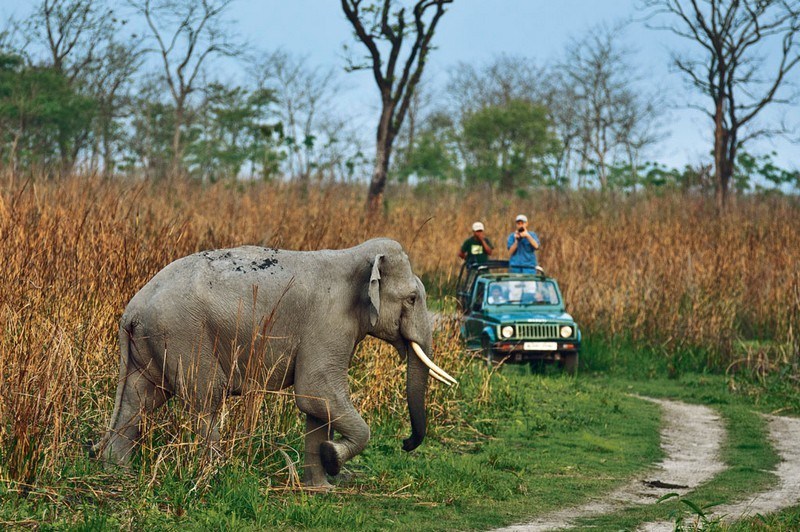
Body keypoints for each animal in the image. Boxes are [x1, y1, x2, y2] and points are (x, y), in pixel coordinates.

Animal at [94, 237, 454, 486]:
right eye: (412, 298)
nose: (406, 443)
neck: (354, 254)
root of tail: (131, 310)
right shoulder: (328, 321)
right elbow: (317, 390)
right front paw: (333, 459)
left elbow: (315, 404)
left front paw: (320, 487)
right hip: (184, 335)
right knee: (206, 400)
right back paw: (215, 474)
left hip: (151, 343)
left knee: (138, 401)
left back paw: (117, 472)